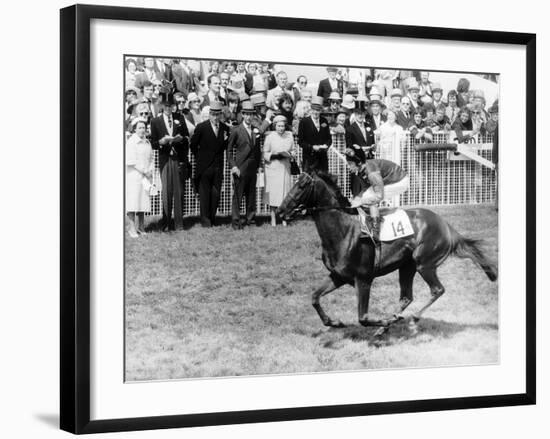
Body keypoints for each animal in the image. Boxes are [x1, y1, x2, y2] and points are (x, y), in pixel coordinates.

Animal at [278, 174, 498, 332]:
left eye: (301, 186)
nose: (280, 211)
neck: (343, 231)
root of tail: (448, 227)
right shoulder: (338, 276)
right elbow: (314, 297)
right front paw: (334, 322)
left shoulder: (363, 279)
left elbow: (363, 318)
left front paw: (381, 322)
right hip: (407, 266)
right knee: (406, 297)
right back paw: (389, 323)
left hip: (424, 263)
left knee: (437, 290)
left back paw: (410, 320)